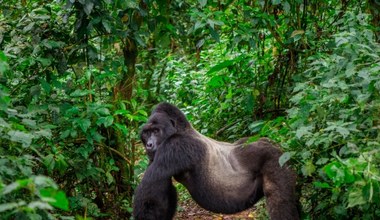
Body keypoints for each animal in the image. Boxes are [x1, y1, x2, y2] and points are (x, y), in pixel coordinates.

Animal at [132, 103, 298, 220]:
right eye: (146, 133)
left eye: (155, 131)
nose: (149, 145)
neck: (181, 129)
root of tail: (276, 145)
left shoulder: (175, 145)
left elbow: (152, 190)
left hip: (276, 159)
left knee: (280, 201)